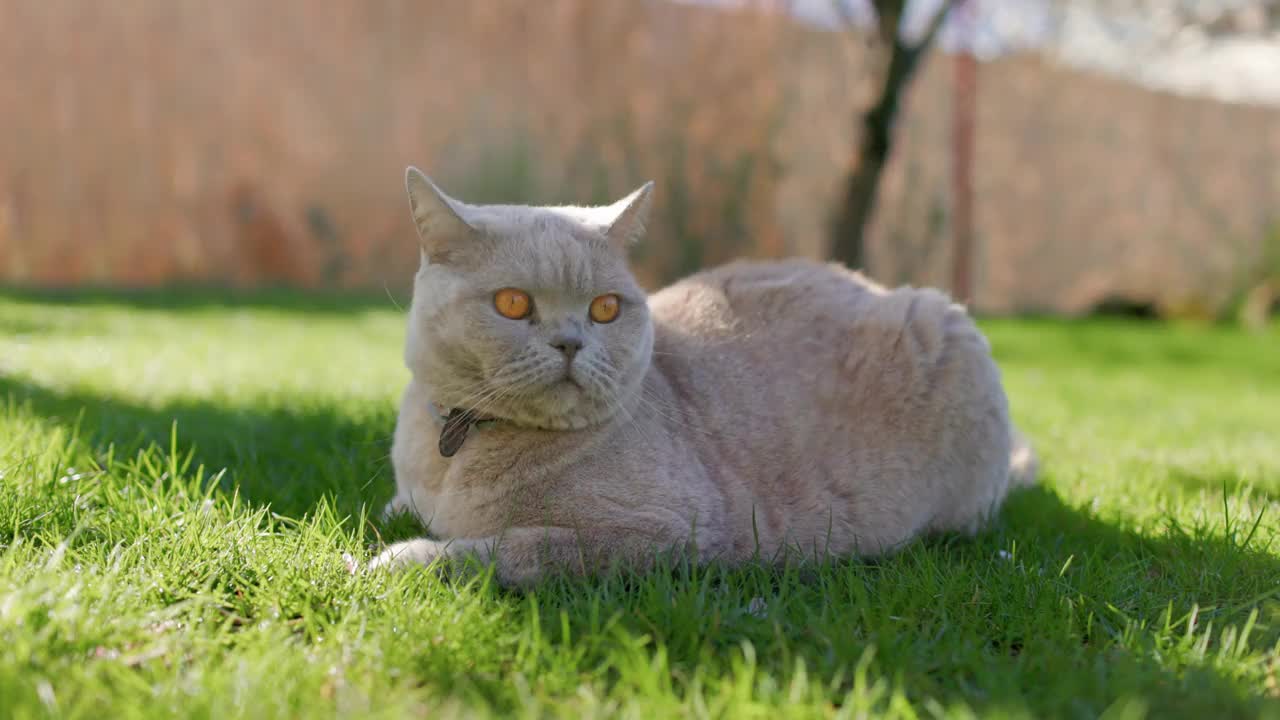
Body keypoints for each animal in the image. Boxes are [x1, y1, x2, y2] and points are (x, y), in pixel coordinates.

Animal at [366, 167, 1034, 584]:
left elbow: (517, 548)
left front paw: (395, 559)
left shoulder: (669, 533)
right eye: (512, 304)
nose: (571, 342)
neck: (457, 454)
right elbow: (395, 507)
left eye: (604, 308)